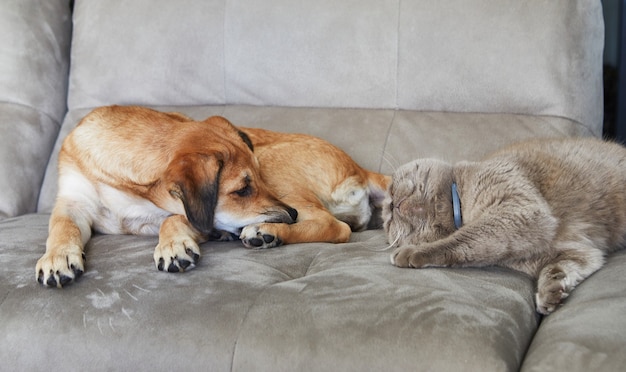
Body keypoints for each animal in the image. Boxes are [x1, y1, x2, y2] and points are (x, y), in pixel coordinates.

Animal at [35, 105, 390, 288]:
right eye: (243, 189)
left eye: (259, 178)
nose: (290, 215)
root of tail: (361, 168)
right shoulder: (71, 202)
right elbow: (61, 227)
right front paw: (57, 258)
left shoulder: (179, 213)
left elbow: (172, 219)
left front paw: (173, 245)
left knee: (335, 227)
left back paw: (267, 233)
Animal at [380, 137, 624, 314]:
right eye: (389, 223)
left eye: (391, 189)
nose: (390, 205)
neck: (458, 203)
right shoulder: (579, 251)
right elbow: (561, 267)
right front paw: (552, 292)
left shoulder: (518, 210)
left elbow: (460, 239)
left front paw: (412, 253)